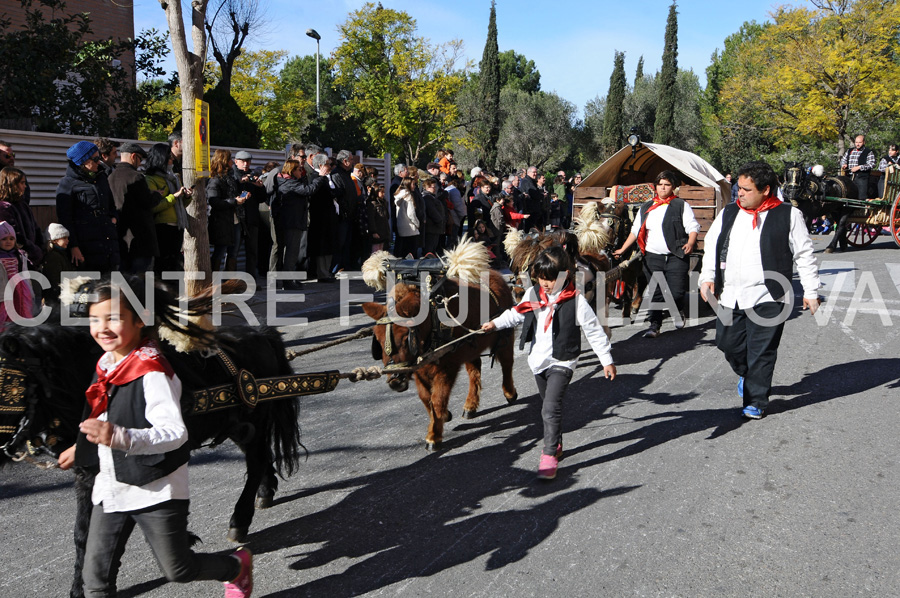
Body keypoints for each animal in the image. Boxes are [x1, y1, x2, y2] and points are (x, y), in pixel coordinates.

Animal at [362, 239, 516, 450]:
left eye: (405, 336)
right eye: (377, 340)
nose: (395, 380)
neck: (432, 320)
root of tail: (497, 276)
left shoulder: (447, 366)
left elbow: (437, 398)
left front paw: (433, 437)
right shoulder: (419, 367)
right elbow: (426, 399)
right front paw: (443, 418)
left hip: (505, 338)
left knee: (507, 364)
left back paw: (510, 393)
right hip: (470, 347)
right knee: (474, 370)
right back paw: (470, 406)